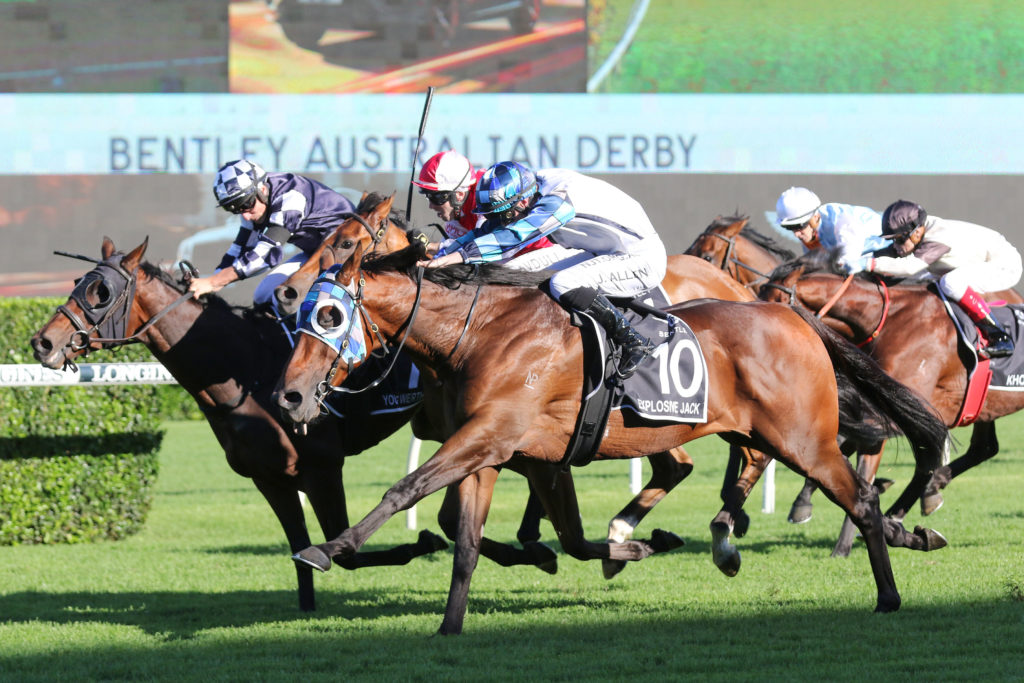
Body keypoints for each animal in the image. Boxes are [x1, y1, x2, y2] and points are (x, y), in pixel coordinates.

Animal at [29, 236, 460, 614]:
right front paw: (307, 607)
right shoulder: (269, 477)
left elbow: (344, 552)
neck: (248, 370)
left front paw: (426, 542)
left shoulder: (322, 468)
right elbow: (300, 549)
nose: (43, 343)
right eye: (77, 283)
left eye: (101, 292)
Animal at [268, 194, 765, 581]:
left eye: (345, 241)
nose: (287, 293)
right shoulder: (481, 434)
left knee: (731, 456)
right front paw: (534, 547)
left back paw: (718, 538)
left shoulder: (498, 431)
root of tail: (738, 292)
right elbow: (454, 517)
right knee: (682, 466)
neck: (471, 328)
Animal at [276, 242, 946, 634]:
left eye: (330, 314)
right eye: (299, 312)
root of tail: (790, 315)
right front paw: (450, 625)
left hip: (804, 440)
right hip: (774, 434)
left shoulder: (491, 436)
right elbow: (470, 540)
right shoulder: (501, 451)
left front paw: (327, 549)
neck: (483, 332)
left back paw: (887, 592)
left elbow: (406, 488)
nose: (290, 395)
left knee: (858, 498)